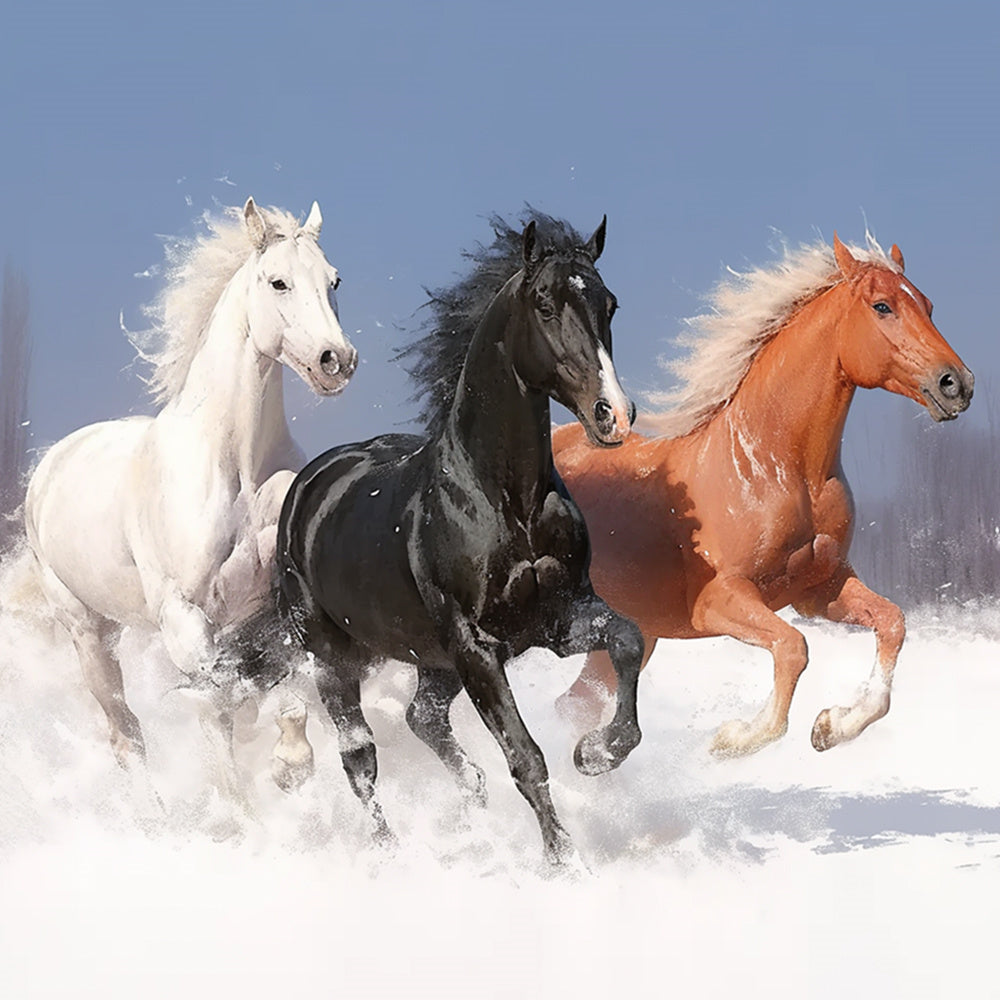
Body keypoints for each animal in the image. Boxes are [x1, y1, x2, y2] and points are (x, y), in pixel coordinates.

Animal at [24, 198, 357, 795]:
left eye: (334, 280)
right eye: (277, 282)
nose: (335, 360)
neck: (236, 468)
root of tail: (50, 466)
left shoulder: (270, 609)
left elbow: (281, 698)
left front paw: (287, 765)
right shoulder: (185, 619)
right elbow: (216, 717)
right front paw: (241, 802)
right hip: (89, 634)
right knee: (126, 736)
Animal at [235, 211, 644, 867]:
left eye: (609, 303)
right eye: (544, 304)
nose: (613, 414)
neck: (506, 502)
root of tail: (309, 486)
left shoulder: (559, 618)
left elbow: (629, 639)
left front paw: (596, 752)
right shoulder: (476, 646)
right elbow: (525, 758)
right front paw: (564, 862)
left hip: (432, 661)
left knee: (423, 719)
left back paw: (469, 815)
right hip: (334, 658)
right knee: (360, 759)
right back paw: (387, 852)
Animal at [553, 233, 973, 757]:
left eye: (929, 306)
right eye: (882, 306)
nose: (957, 384)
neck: (776, 469)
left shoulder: (821, 589)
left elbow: (892, 622)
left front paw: (833, 726)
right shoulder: (718, 601)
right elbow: (794, 648)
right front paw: (734, 737)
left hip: (633, 635)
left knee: (573, 704)